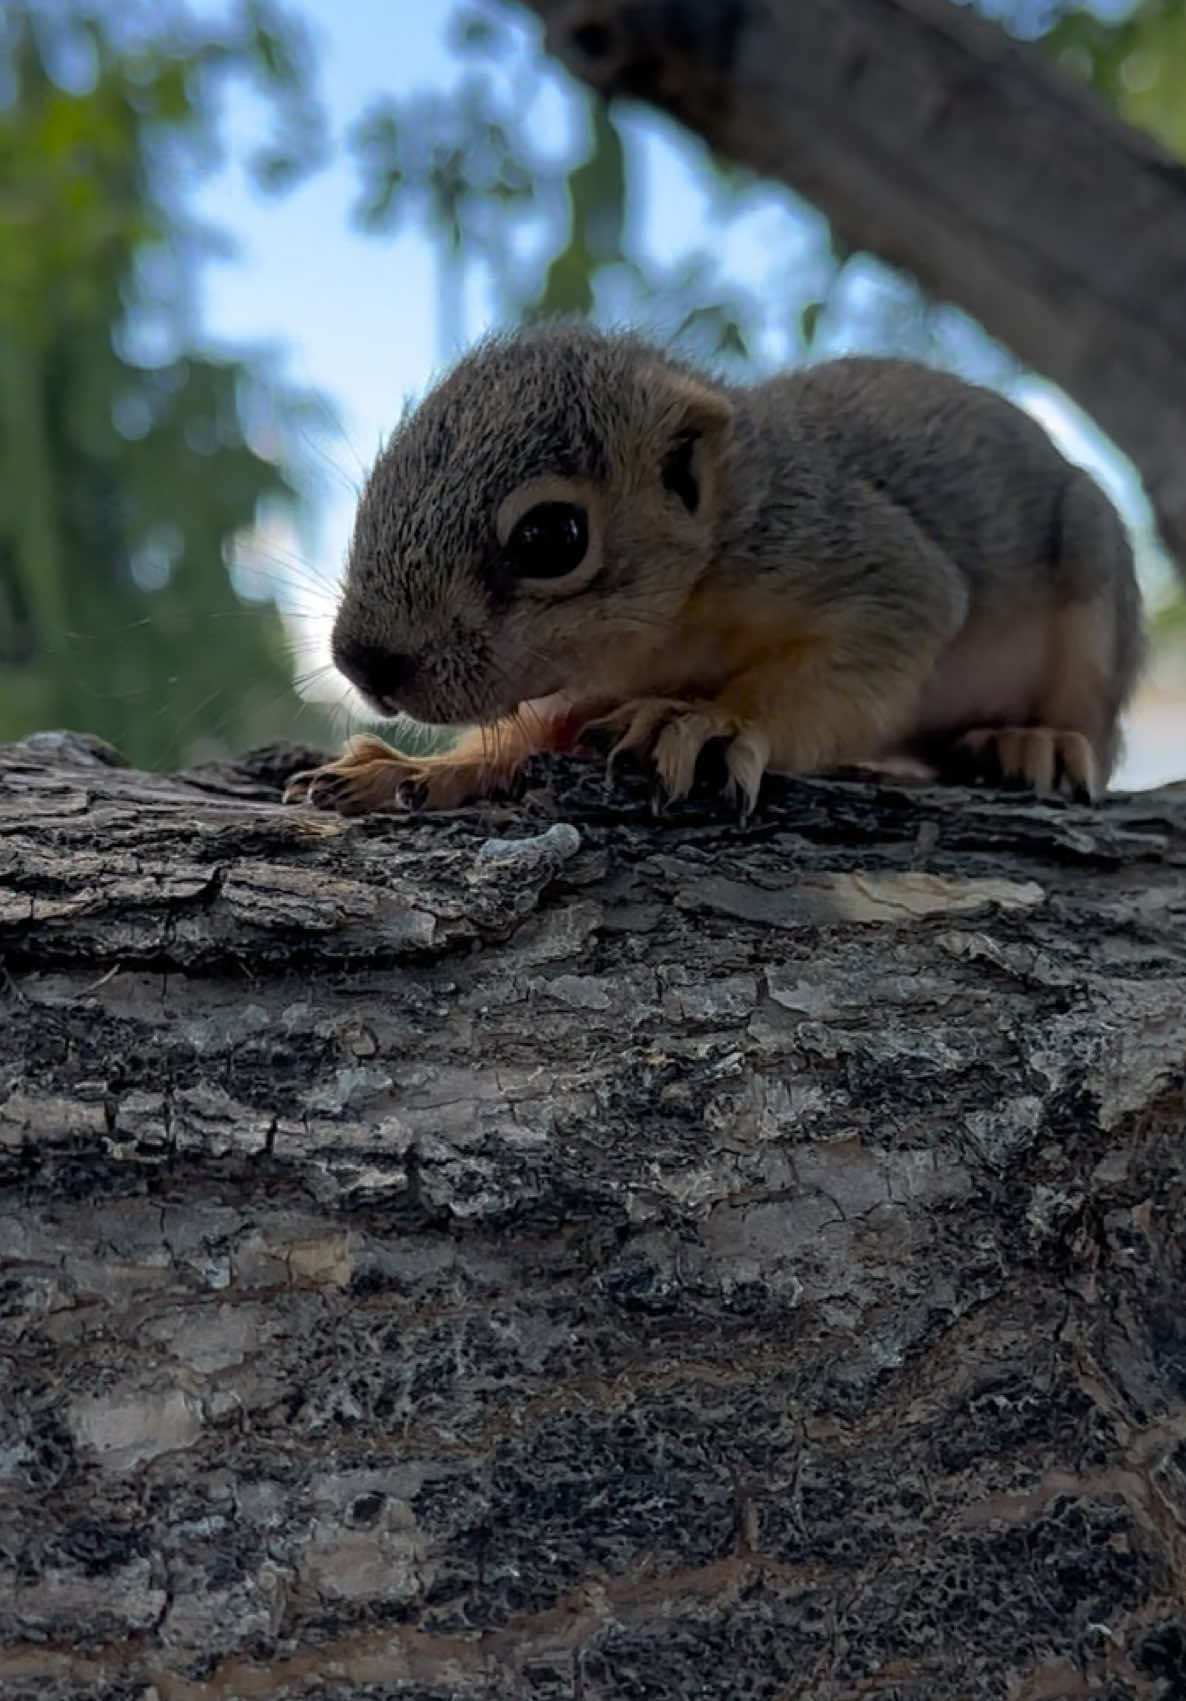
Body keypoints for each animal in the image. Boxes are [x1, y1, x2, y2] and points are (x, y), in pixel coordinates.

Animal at [283, 321, 1144, 817]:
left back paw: (1035, 740)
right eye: (378, 478)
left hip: (1096, 584)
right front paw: (415, 770)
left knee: (1095, 730)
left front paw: (705, 721)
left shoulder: (868, 567)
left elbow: (853, 658)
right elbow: (528, 734)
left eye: (551, 536)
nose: (362, 661)